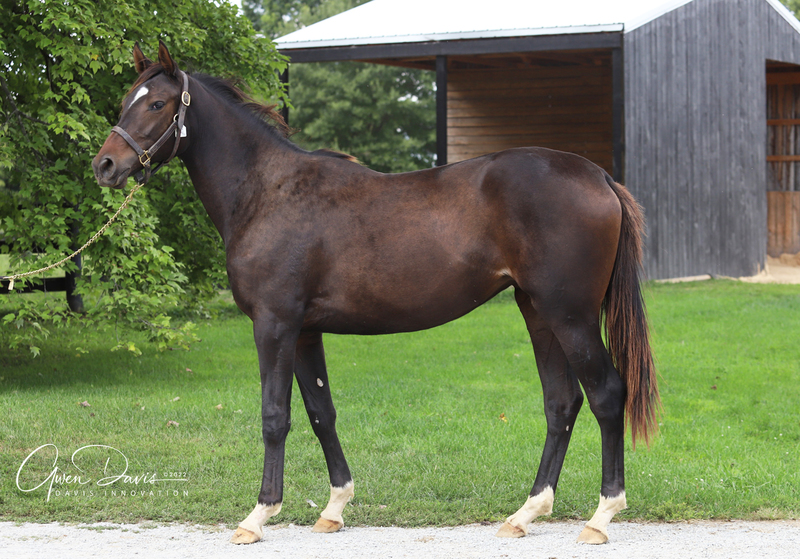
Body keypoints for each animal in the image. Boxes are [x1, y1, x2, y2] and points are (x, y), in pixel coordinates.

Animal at [90, 44, 660, 548]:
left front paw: (257, 516)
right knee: (561, 403)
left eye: (158, 104)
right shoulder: (304, 331)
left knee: (607, 395)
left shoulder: (274, 324)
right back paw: (524, 514)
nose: (105, 166)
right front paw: (334, 508)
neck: (266, 192)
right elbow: (321, 412)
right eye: (125, 99)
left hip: (571, 316)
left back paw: (600, 518)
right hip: (538, 312)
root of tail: (598, 176)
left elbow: (275, 416)